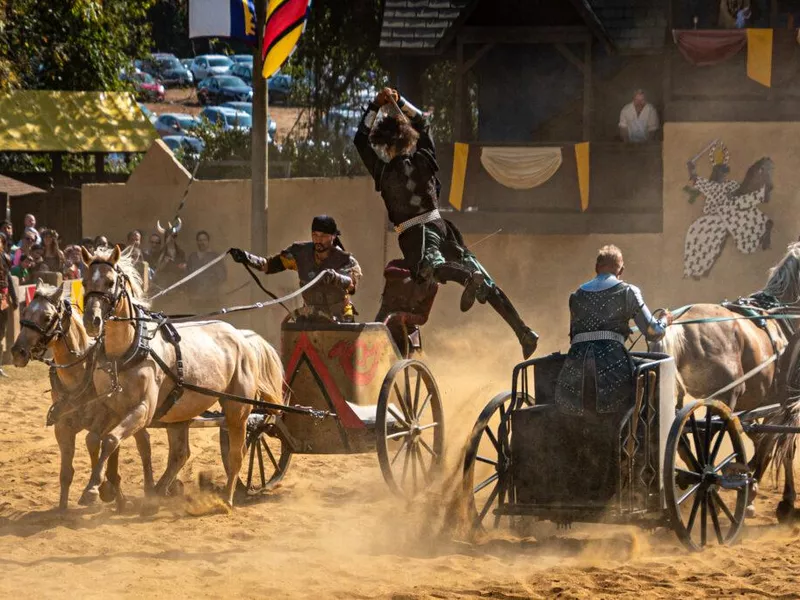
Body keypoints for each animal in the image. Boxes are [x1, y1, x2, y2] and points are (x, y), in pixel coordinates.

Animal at [10, 284, 153, 508]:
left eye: (47, 316)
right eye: (24, 313)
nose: (18, 352)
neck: (78, 374)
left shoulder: (105, 418)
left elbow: (94, 442)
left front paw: (100, 490)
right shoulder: (62, 427)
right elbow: (66, 472)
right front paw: (62, 509)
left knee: (142, 444)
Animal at [78, 246, 284, 508]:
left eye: (110, 281)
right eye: (84, 282)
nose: (91, 321)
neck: (127, 351)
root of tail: (243, 336)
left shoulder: (143, 409)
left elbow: (111, 440)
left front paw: (94, 489)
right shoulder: (112, 408)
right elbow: (94, 439)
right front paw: (101, 487)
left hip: (237, 409)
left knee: (237, 454)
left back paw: (226, 499)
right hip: (180, 413)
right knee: (180, 454)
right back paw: (158, 491)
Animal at [652, 241, 800, 512]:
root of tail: (678, 325)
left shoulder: (766, 404)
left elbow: (766, 440)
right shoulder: (785, 403)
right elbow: (776, 444)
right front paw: (771, 494)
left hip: (682, 399)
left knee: (680, 439)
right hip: (726, 397)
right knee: (707, 439)